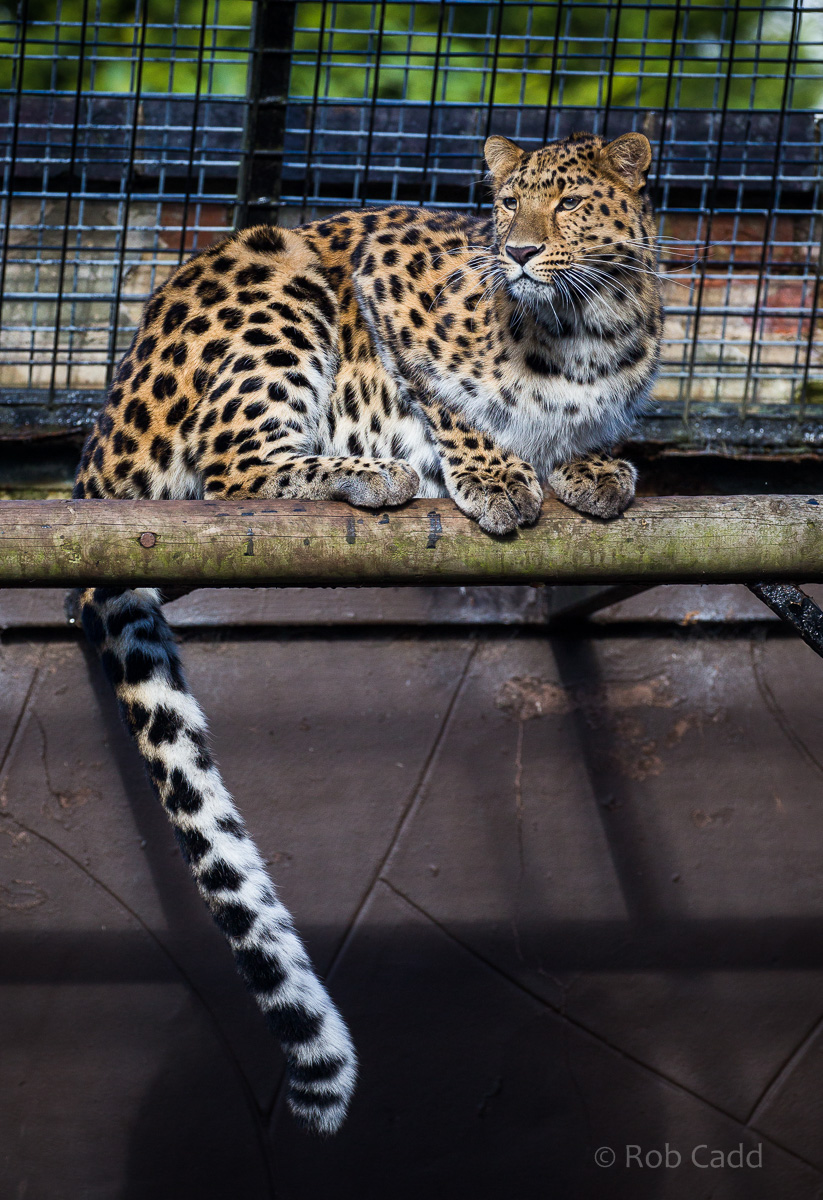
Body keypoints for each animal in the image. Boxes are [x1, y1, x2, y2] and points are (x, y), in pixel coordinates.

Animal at [71, 130, 662, 1135]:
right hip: (276, 276)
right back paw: (371, 474)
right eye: (507, 205)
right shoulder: (382, 274)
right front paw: (494, 477)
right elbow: (447, 400)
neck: (586, 324)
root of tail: (105, 435)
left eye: (573, 205)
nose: (517, 254)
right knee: (237, 470)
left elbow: (578, 434)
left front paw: (590, 468)